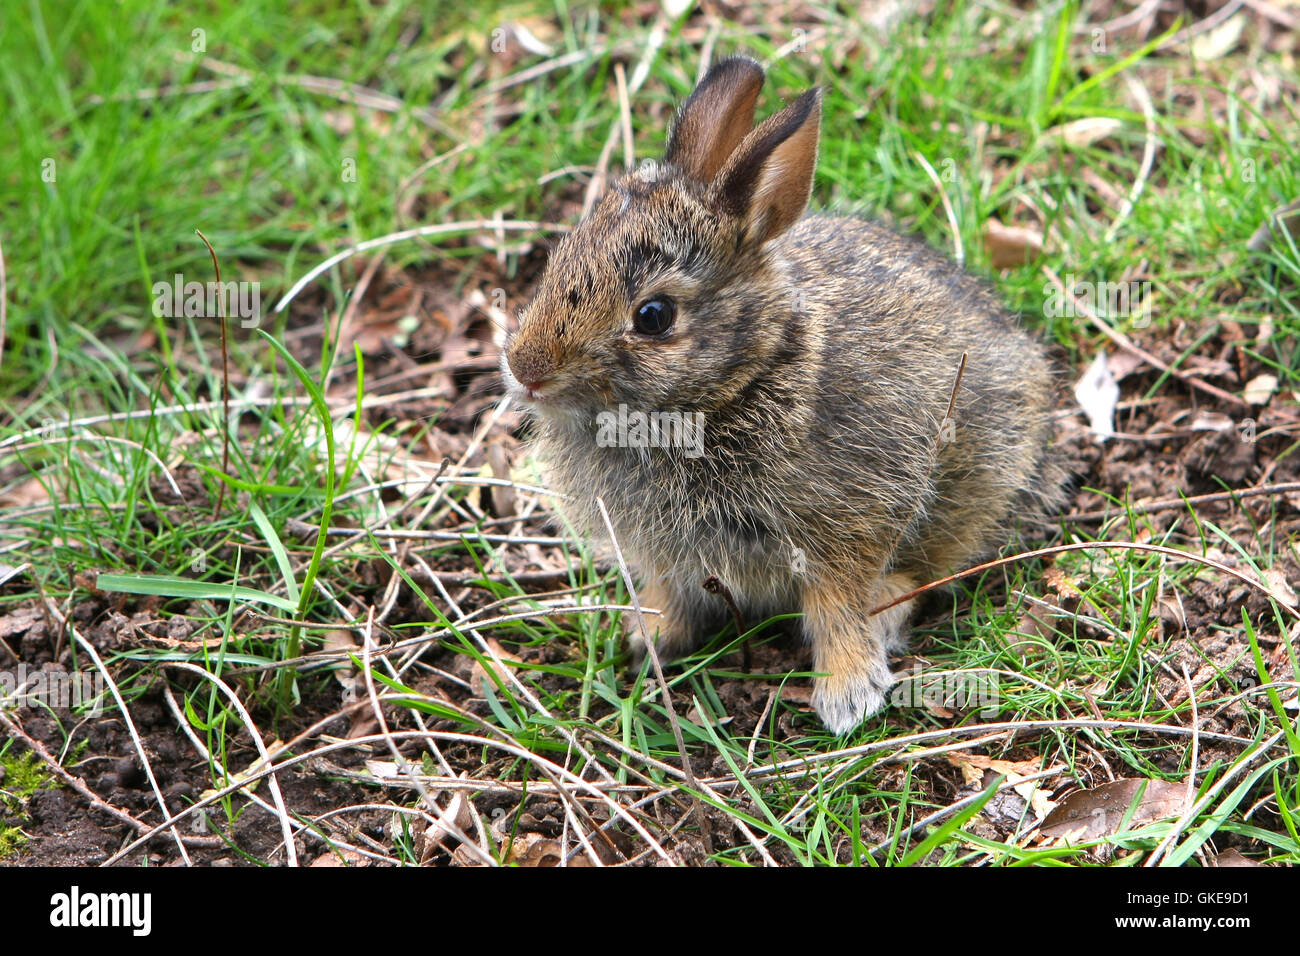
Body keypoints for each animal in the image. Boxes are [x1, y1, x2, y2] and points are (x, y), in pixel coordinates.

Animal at [499, 55, 1066, 738]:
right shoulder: (666, 558)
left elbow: (836, 603)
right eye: (559, 258)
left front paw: (848, 693)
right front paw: (649, 637)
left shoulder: (853, 519)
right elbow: (672, 594)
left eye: (654, 316)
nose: (525, 369)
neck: (737, 383)